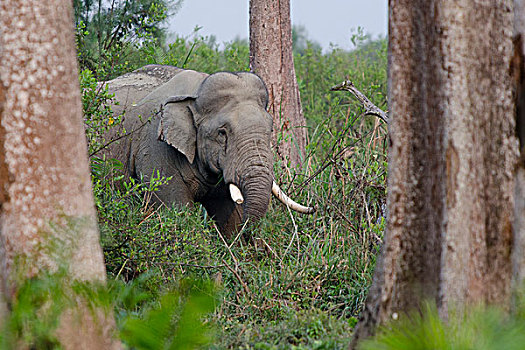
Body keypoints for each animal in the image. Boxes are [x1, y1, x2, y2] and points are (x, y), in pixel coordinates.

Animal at [99, 65, 312, 238]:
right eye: (222, 132)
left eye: (271, 130)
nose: (315, 207)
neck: (195, 91)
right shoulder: (156, 150)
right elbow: (175, 212)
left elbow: (230, 215)